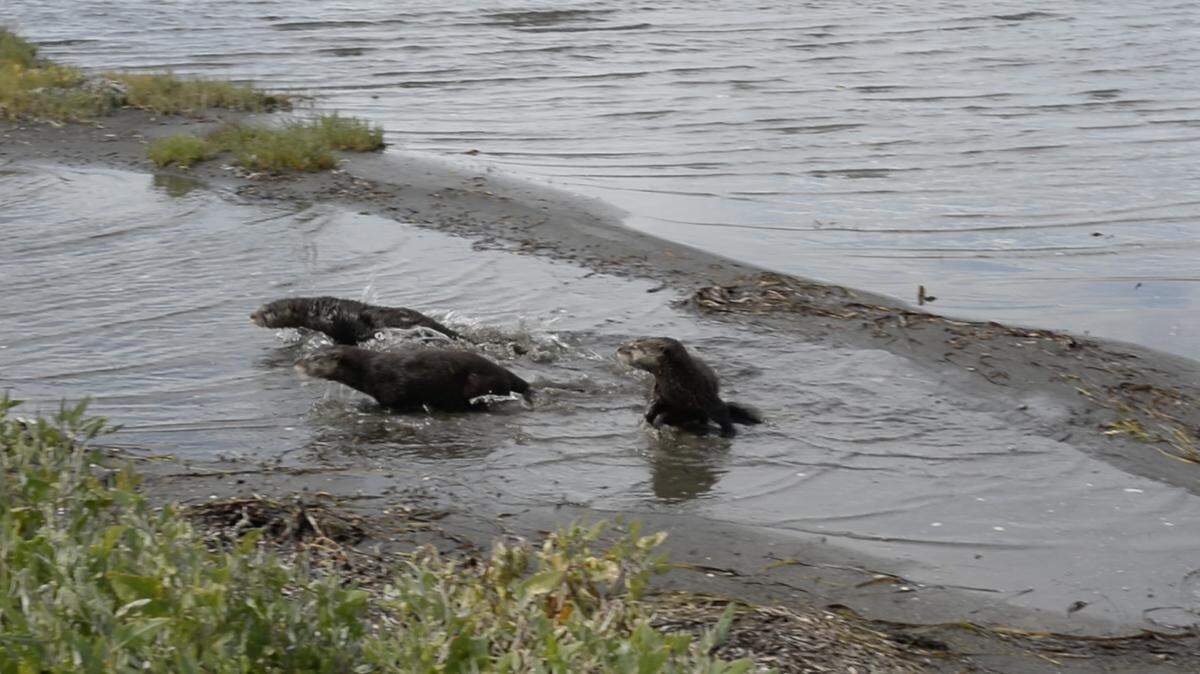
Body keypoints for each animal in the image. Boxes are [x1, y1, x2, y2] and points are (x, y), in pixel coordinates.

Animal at [296, 345, 530, 412]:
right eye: (307, 354)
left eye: (313, 359)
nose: (297, 363)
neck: (370, 370)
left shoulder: (392, 389)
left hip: (479, 381)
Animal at [616, 337, 762, 437]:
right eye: (632, 342)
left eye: (635, 346)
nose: (619, 349)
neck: (680, 391)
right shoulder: (658, 394)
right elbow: (650, 409)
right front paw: (646, 424)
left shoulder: (706, 395)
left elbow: (721, 411)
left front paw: (729, 432)